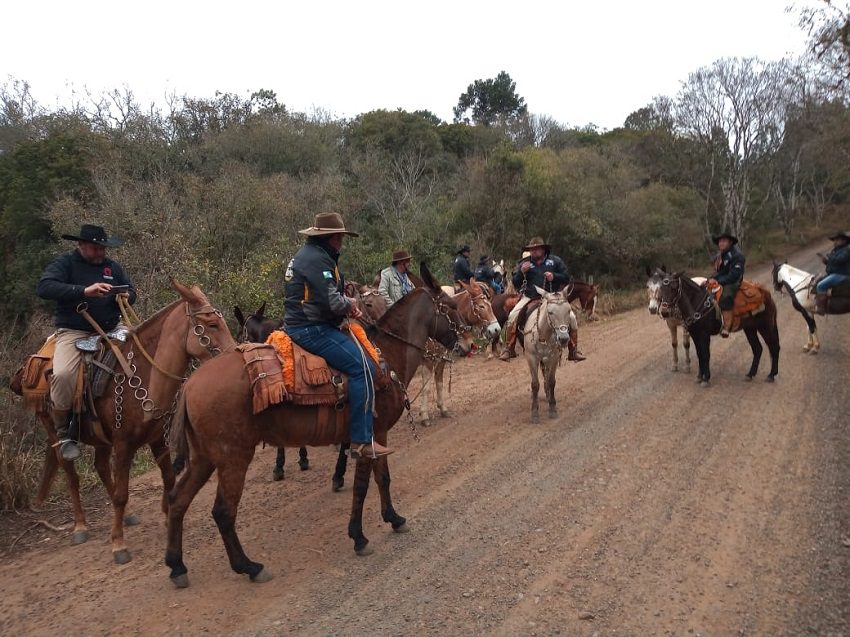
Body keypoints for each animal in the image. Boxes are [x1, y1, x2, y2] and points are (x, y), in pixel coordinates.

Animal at [21, 280, 234, 560]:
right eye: (211, 325)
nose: (235, 353)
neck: (145, 375)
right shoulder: (123, 445)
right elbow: (122, 493)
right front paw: (118, 543)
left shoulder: (158, 440)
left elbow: (168, 479)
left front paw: (168, 518)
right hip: (55, 429)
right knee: (71, 475)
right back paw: (80, 526)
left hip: (100, 439)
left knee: (101, 466)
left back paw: (127, 516)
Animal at [165, 264, 470, 588]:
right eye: (451, 306)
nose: (469, 343)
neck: (384, 355)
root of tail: (189, 385)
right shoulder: (370, 436)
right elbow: (363, 485)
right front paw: (359, 536)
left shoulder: (377, 436)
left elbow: (382, 479)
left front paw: (394, 518)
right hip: (233, 458)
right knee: (223, 511)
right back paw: (249, 566)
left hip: (204, 458)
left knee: (177, 499)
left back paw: (176, 565)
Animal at [520, 286, 572, 422]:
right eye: (550, 312)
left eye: (569, 310)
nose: (563, 339)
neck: (543, 335)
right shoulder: (532, 358)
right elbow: (535, 385)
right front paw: (534, 412)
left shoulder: (553, 358)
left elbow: (551, 381)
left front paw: (552, 408)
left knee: (546, 376)